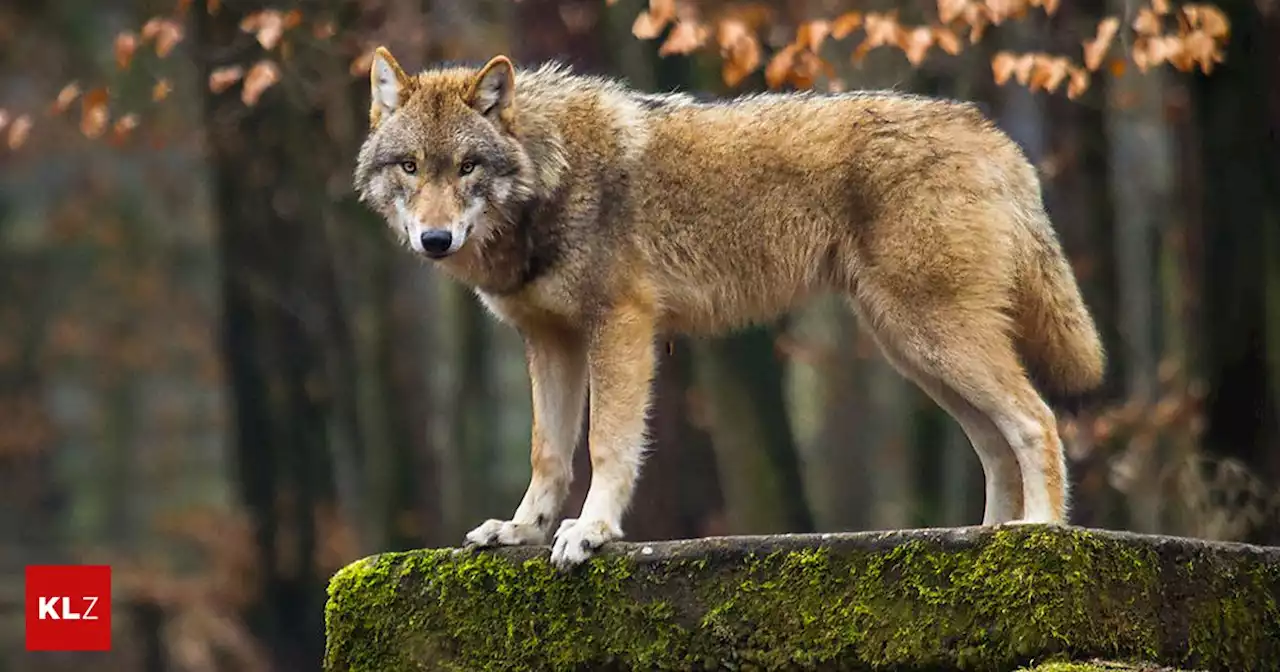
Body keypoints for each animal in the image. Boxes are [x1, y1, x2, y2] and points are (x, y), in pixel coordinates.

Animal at [355, 47, 1105, 568]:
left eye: (467, 167)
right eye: (411, 167)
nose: (434, 239)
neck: (552, 173)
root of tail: (993, 135)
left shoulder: (620, 327)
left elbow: (606, 445)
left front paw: (590, 532)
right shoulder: (549, 341)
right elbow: (548, 453)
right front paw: (520, 531)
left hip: (932, 337)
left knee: (1036, 420)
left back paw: (1040, 534)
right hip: (914, 349)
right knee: (995, 441)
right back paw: (987, 537)